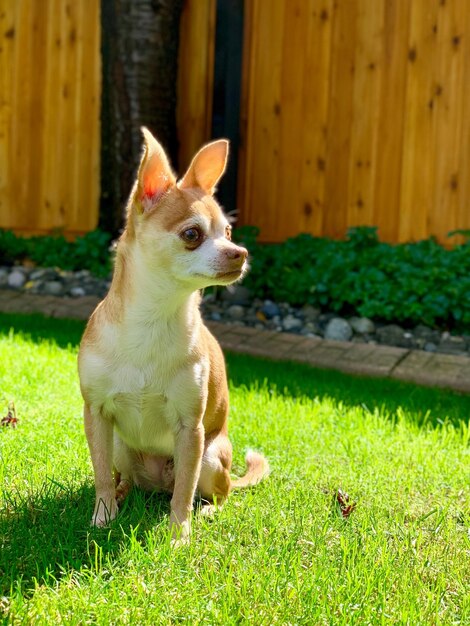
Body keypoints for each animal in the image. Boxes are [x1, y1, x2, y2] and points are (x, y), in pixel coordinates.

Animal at [77, 128, 268, 540]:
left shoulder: (189, 429)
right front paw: (102, 515)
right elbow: (100, 474)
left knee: (211, 490)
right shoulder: (96, 414)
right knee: (123, 477)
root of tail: (154, 482)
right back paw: (123, 494)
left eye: (228, 232)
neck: (155, 317)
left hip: (211, 456)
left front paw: (179, 534)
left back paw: (206, 510)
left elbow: (184, 489)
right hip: (121, 445)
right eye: (192, 234)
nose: (240, 252)